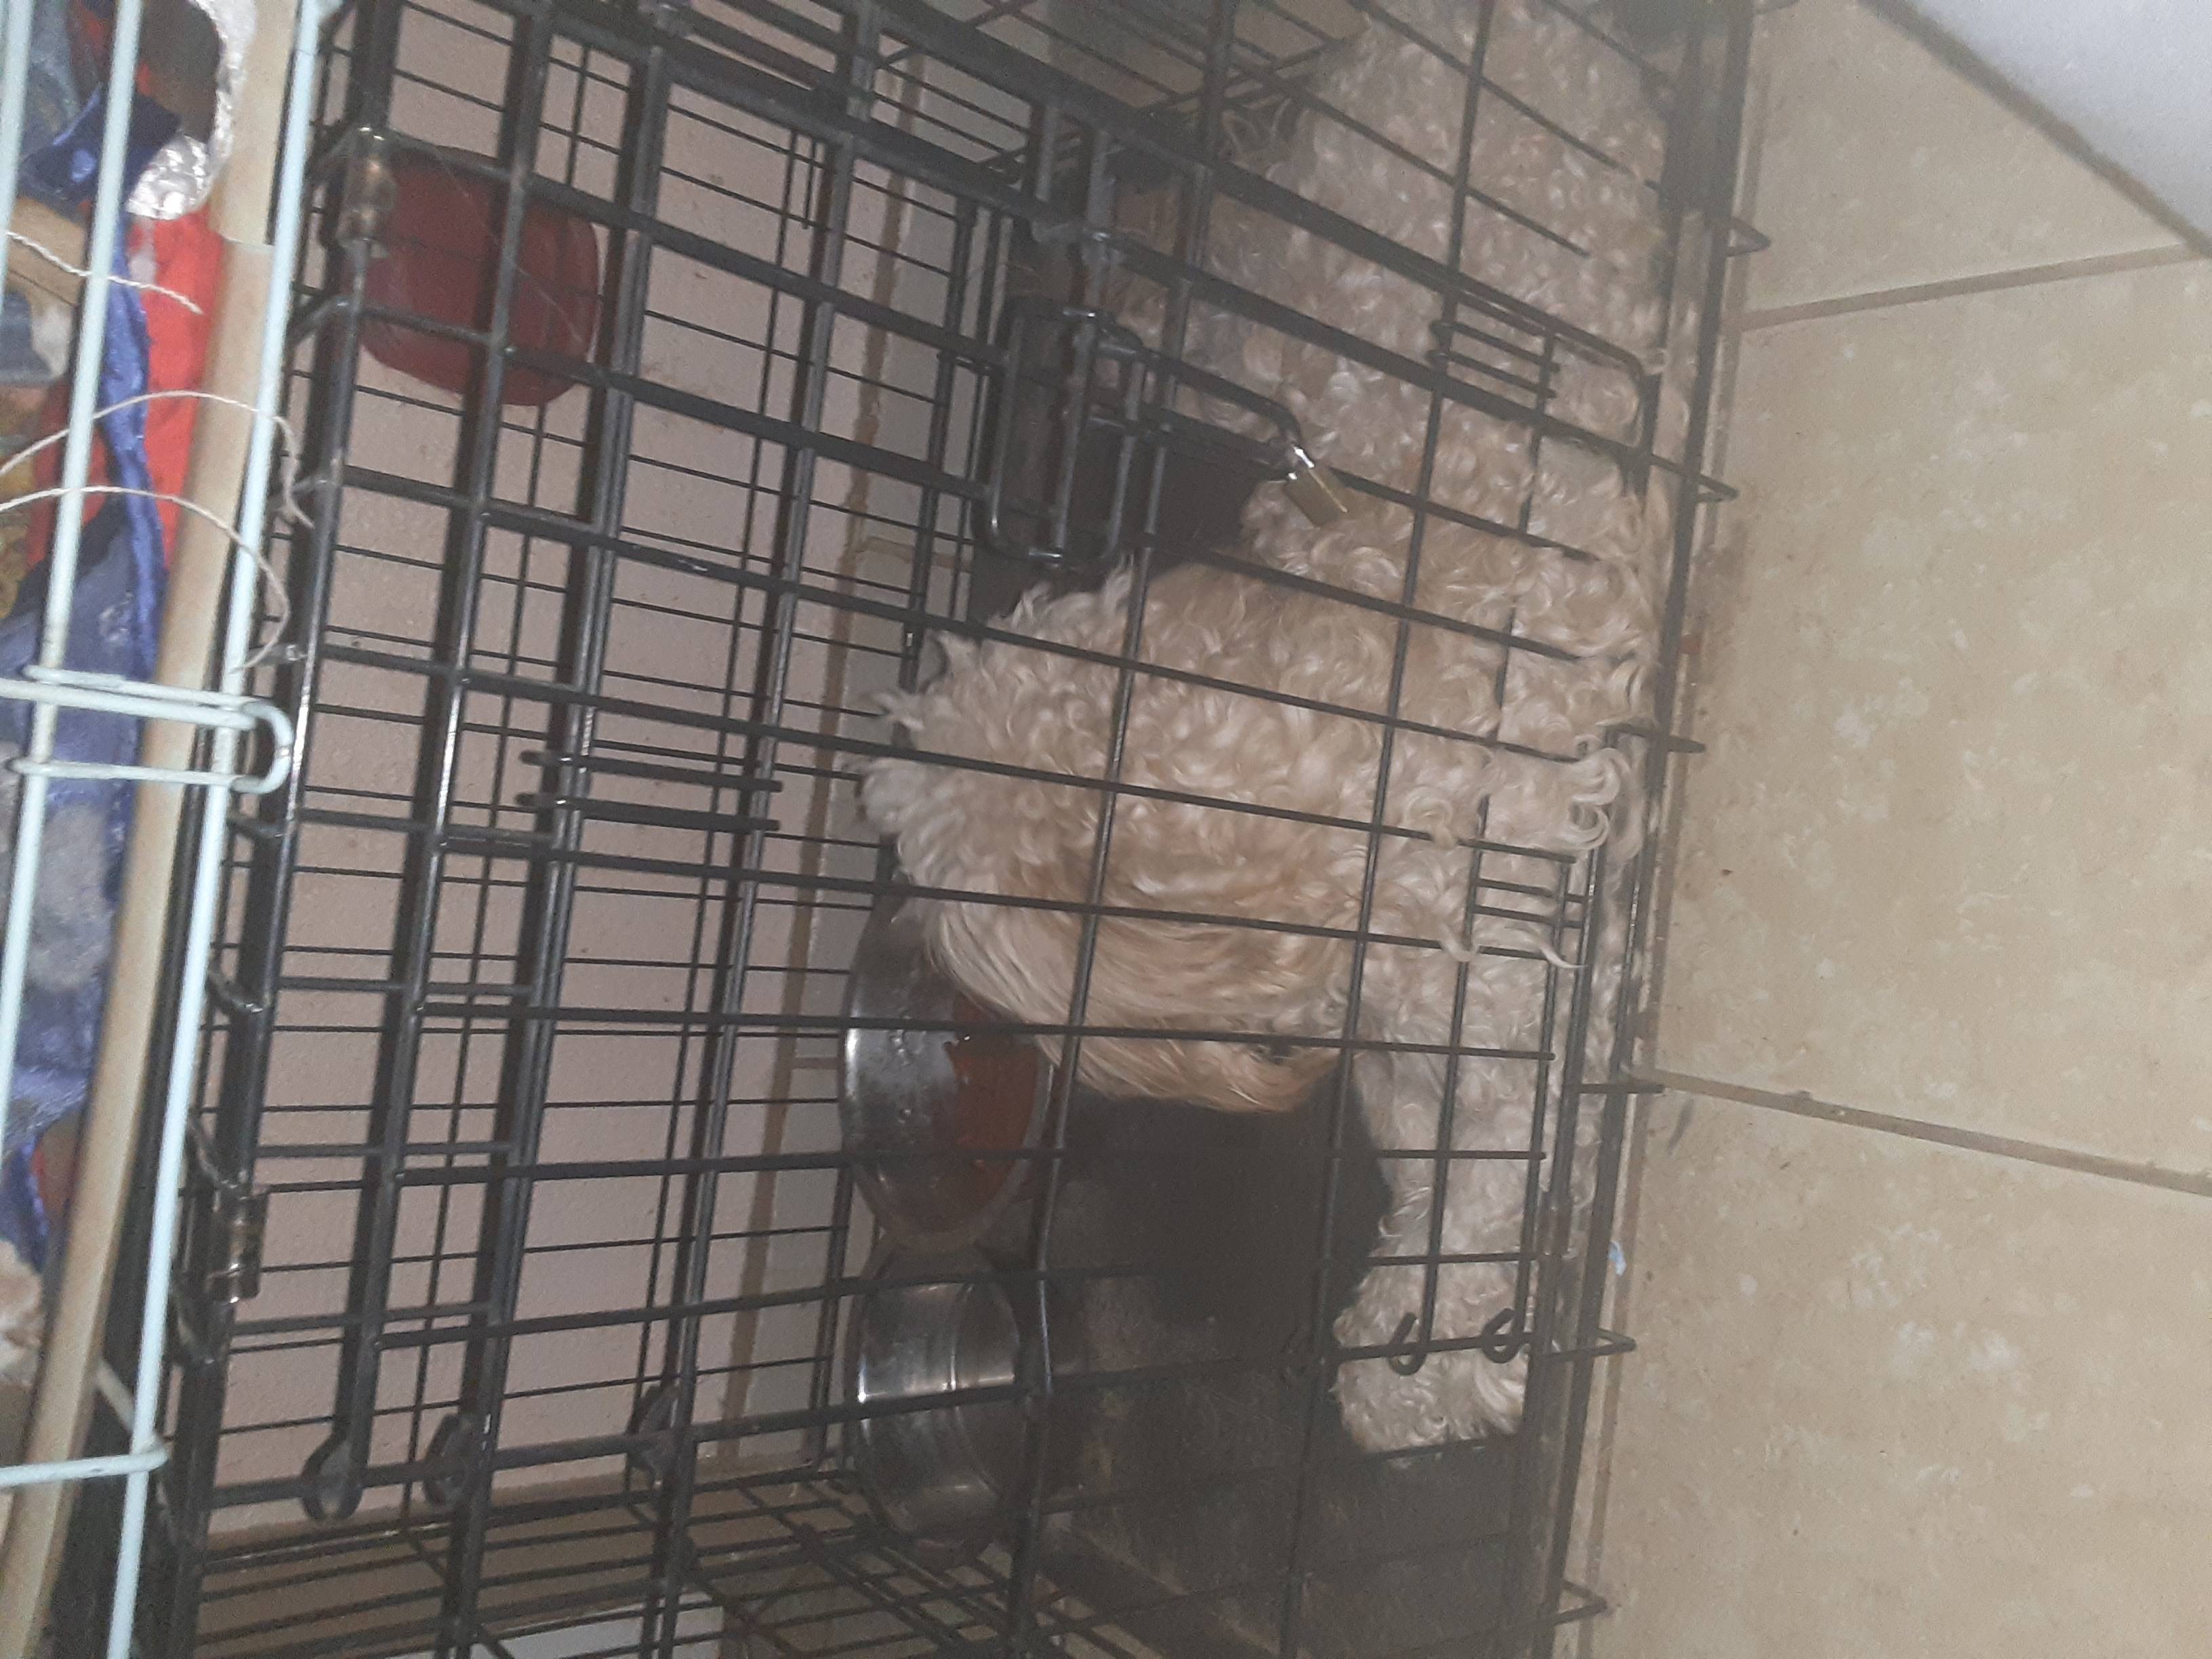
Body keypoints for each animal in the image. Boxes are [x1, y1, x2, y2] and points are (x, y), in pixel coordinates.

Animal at [863, 0, 1682, 1450]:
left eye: (922, 875)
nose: (888, 939)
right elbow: (1419, 1150)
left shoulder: (1521, 1001)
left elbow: (1486, 1174)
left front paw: (1429, 1363)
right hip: (1283, 299)